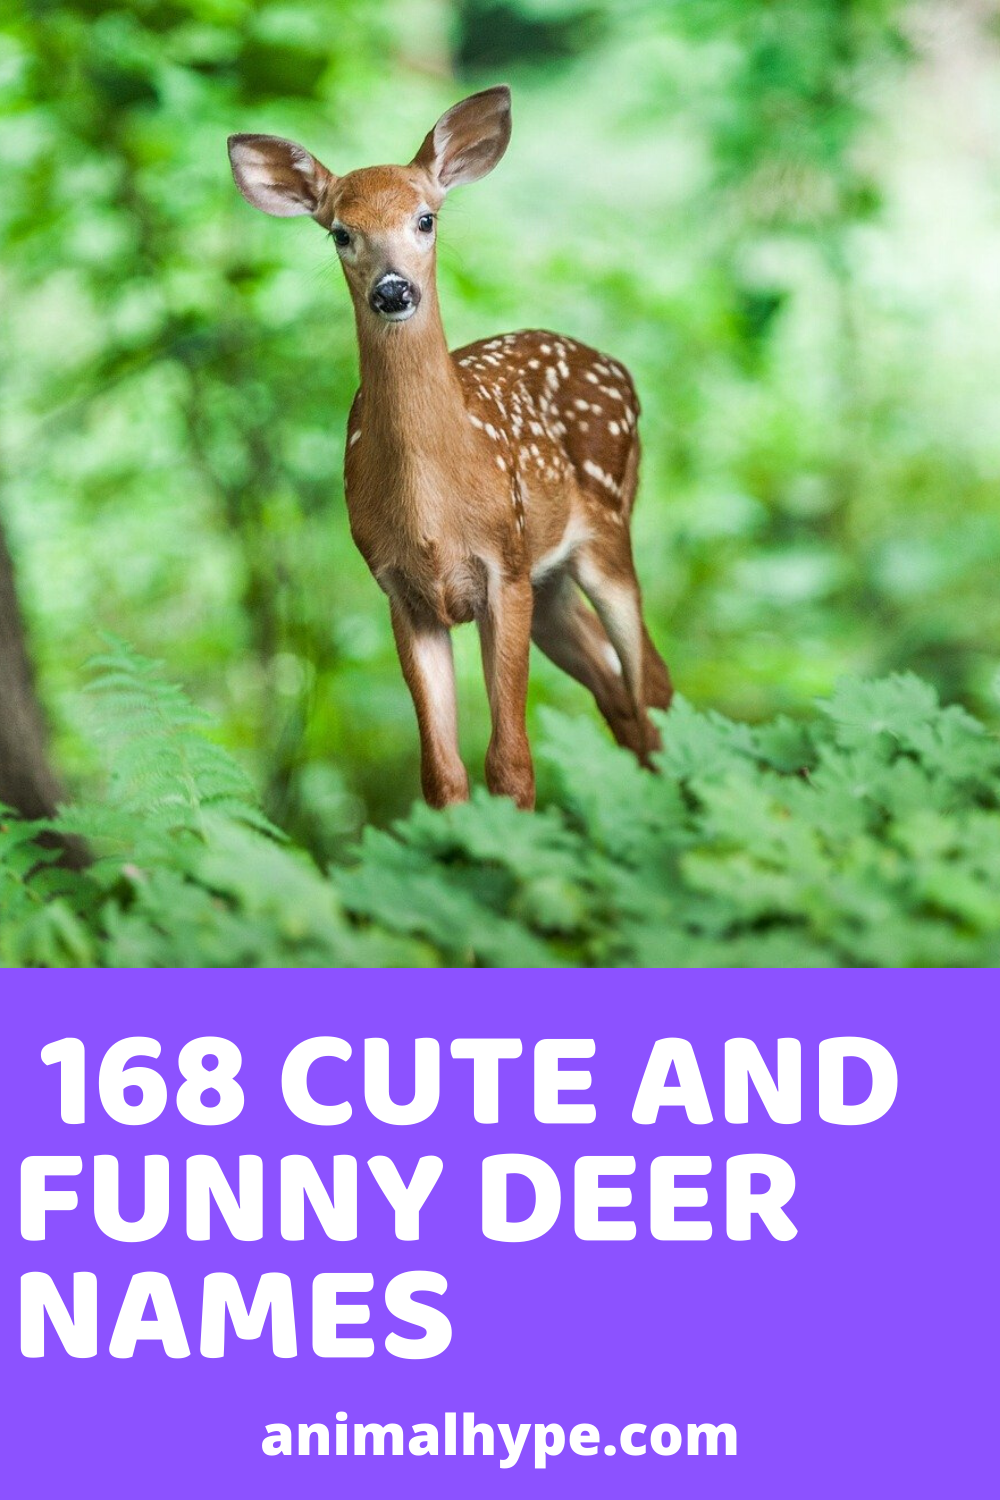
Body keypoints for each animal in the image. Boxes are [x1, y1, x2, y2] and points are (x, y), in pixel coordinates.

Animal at [227, 85, 672, 811]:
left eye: (426, 219)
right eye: (340, 232)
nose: (392, 290)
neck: (434, 511)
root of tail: (618, 368)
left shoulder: (503, 568)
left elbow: (511, 763)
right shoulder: (400, 591)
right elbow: (441, 773)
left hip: (605, 530)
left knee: (651, 683)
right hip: (550, 582)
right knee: (618, 693)